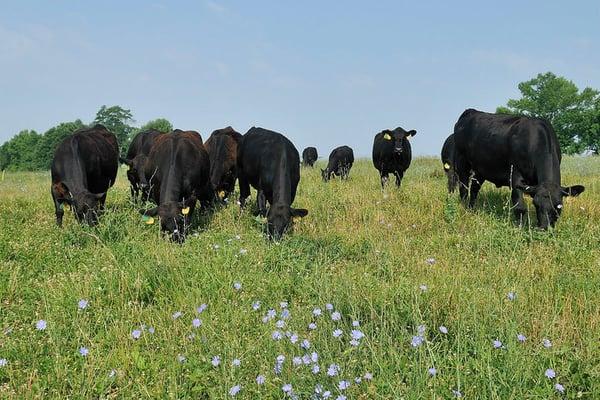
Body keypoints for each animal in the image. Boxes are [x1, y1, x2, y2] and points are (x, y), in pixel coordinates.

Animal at [452, 108, 584, 228]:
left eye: (558, 206)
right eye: (536, 204)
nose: (543, 227)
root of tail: (470, 111)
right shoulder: (515, 175)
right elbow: (519, 207)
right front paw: (519, 227)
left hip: (481, 168)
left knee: (474, 188)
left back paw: (472, 210)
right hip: (462, 162)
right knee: (463, 188)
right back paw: (464, 208)